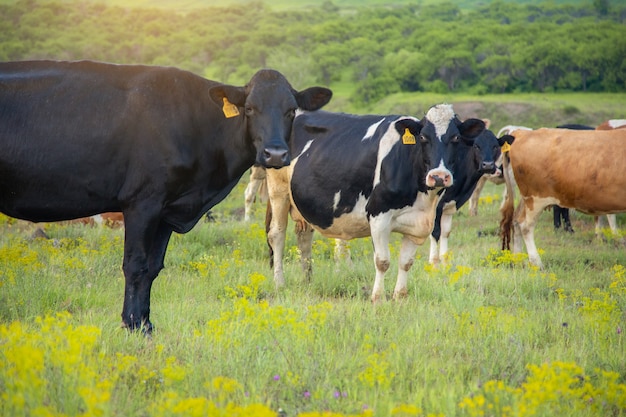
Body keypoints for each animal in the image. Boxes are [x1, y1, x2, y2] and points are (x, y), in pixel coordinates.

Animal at [0, 59, 332, 332]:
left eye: (291, 110)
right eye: (250, 108)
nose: (275, 154)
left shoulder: (167, 209)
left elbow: (153, 267)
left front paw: (146, 323)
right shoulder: (142, 202)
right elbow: (135, 264)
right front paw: (132, 325)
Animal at [266, 103, 486, 300]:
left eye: (456, 138)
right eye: (423, 137)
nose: (439, 176)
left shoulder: (418, 224)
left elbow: (406, 262)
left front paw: (399, 296)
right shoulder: (379, 216)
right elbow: (382, 261)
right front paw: (377, 298)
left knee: (304, 237)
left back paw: (307, 281)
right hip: (278, 190)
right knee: (277, 235)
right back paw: (279, 283)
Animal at [426, 127, 504, 264]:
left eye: (495, 146)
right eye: (476, 146)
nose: (488, 165)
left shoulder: (449, 205)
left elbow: (445, 232)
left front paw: (445, 264)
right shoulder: (435, 206)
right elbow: (435, 232)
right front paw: (432, 264)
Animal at [498, 127, 624, 266]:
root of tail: (522, 133)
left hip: (526, 198)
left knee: (515, 220)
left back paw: (518, 260)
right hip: (535, 198)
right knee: (525, 226)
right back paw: (537, 263)